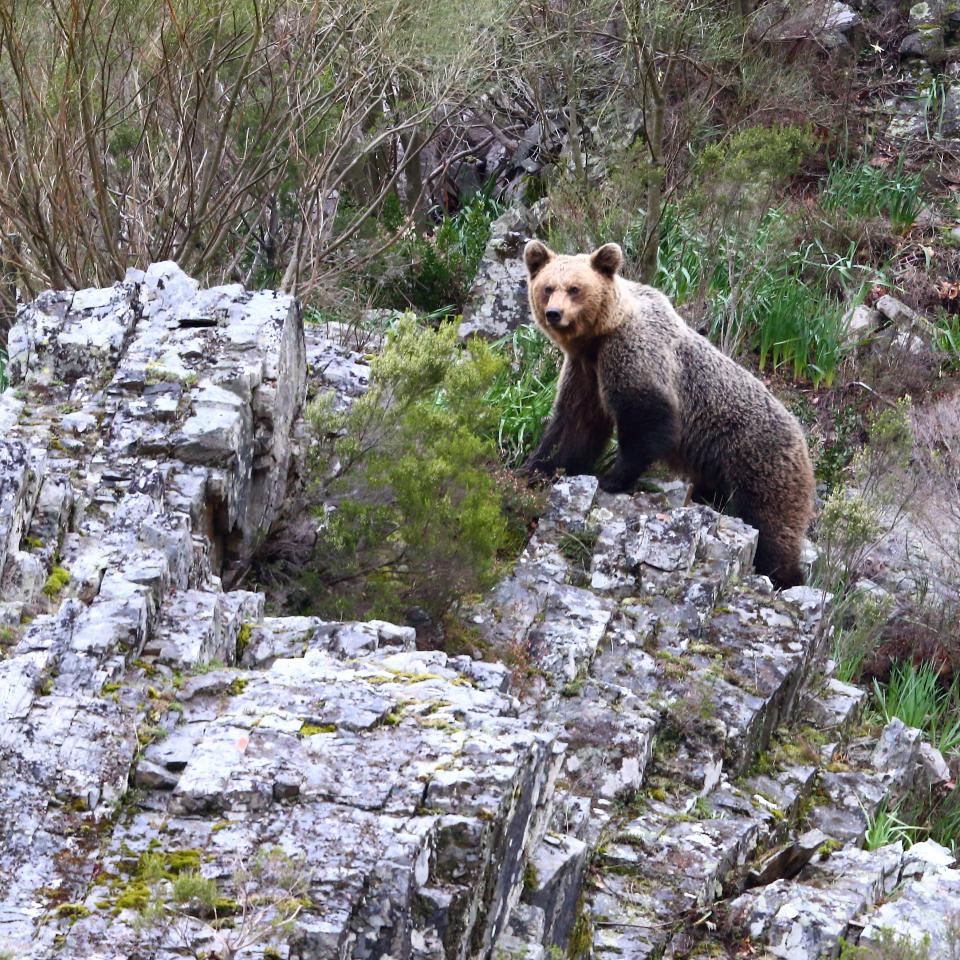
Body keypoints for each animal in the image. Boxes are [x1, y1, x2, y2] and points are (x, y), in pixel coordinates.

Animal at [520, 237, 812, 588]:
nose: (554, 313)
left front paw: (612, 478)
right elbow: (575, 423)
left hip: (758, 461)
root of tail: (803, 438)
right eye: (548, 287)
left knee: (770, 526)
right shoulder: (585, 371)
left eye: (575, 289)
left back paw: (784, 576)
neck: (598, 337)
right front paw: (537, 466)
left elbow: (648, 419)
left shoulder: (634, 355)